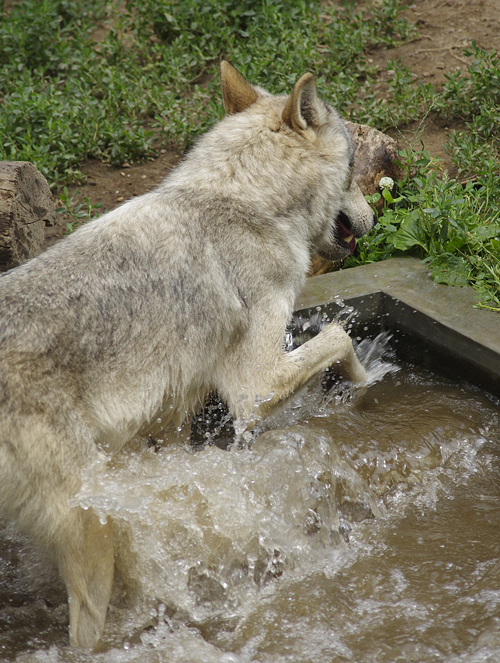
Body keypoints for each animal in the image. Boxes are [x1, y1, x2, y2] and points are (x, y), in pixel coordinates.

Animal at [0, 63, 376, 648]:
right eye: (356, 165)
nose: (374, 217)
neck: (248, 204)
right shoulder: (254, 387)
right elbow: (340, 335)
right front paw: (366, 380)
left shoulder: (167, 424)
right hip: (90, 529)